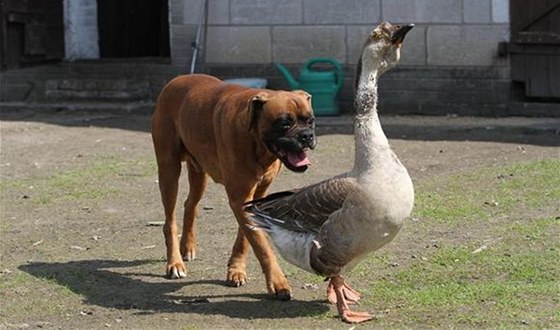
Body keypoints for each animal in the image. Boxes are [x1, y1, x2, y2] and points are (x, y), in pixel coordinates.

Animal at [150, 74, 316, 300]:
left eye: (310, 120)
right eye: (284, 123)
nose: (307, 135)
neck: (257, 142)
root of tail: (175, 80)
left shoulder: (254, 198)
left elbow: (246, 238)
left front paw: (236, 270)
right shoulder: (239, 199)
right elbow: (261, 244)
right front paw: (278, 282)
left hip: (199, 173)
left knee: (190, 205)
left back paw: (188, 247)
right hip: (169, 170)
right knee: (170, 220)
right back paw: (175, 263)